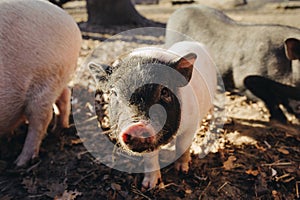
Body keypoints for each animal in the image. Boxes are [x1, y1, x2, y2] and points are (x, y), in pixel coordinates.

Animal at [0, 0, 82, 166]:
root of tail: (70, 22)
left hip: (45, 80)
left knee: (42, 117)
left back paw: (20, 162)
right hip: (57, 78)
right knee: (65, 95)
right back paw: (58, 129)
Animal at [90, 41, 217, 189]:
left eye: (164, 91)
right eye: (114, 93)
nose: (138, 126)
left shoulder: (191, 124)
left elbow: (182, 146)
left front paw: (182, 170)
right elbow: (150, 159)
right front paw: (148, 186)